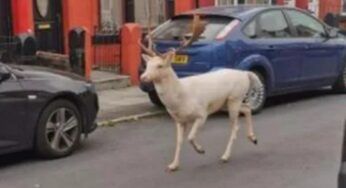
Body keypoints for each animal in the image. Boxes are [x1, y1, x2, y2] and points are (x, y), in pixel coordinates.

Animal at [139, 14, 260, 171]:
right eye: (148, 64)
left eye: (159, 65)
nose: (143, 77)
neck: (181, 98)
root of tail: (245, 74)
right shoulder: (179, 120)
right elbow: (179, 141)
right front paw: (173, 165)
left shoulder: (202, 114)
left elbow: (190, 137)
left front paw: (201, 150)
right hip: (227, 103)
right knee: (247, 108)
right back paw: (253, 138)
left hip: (235, 97)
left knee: (235, 126)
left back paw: (225, 156)